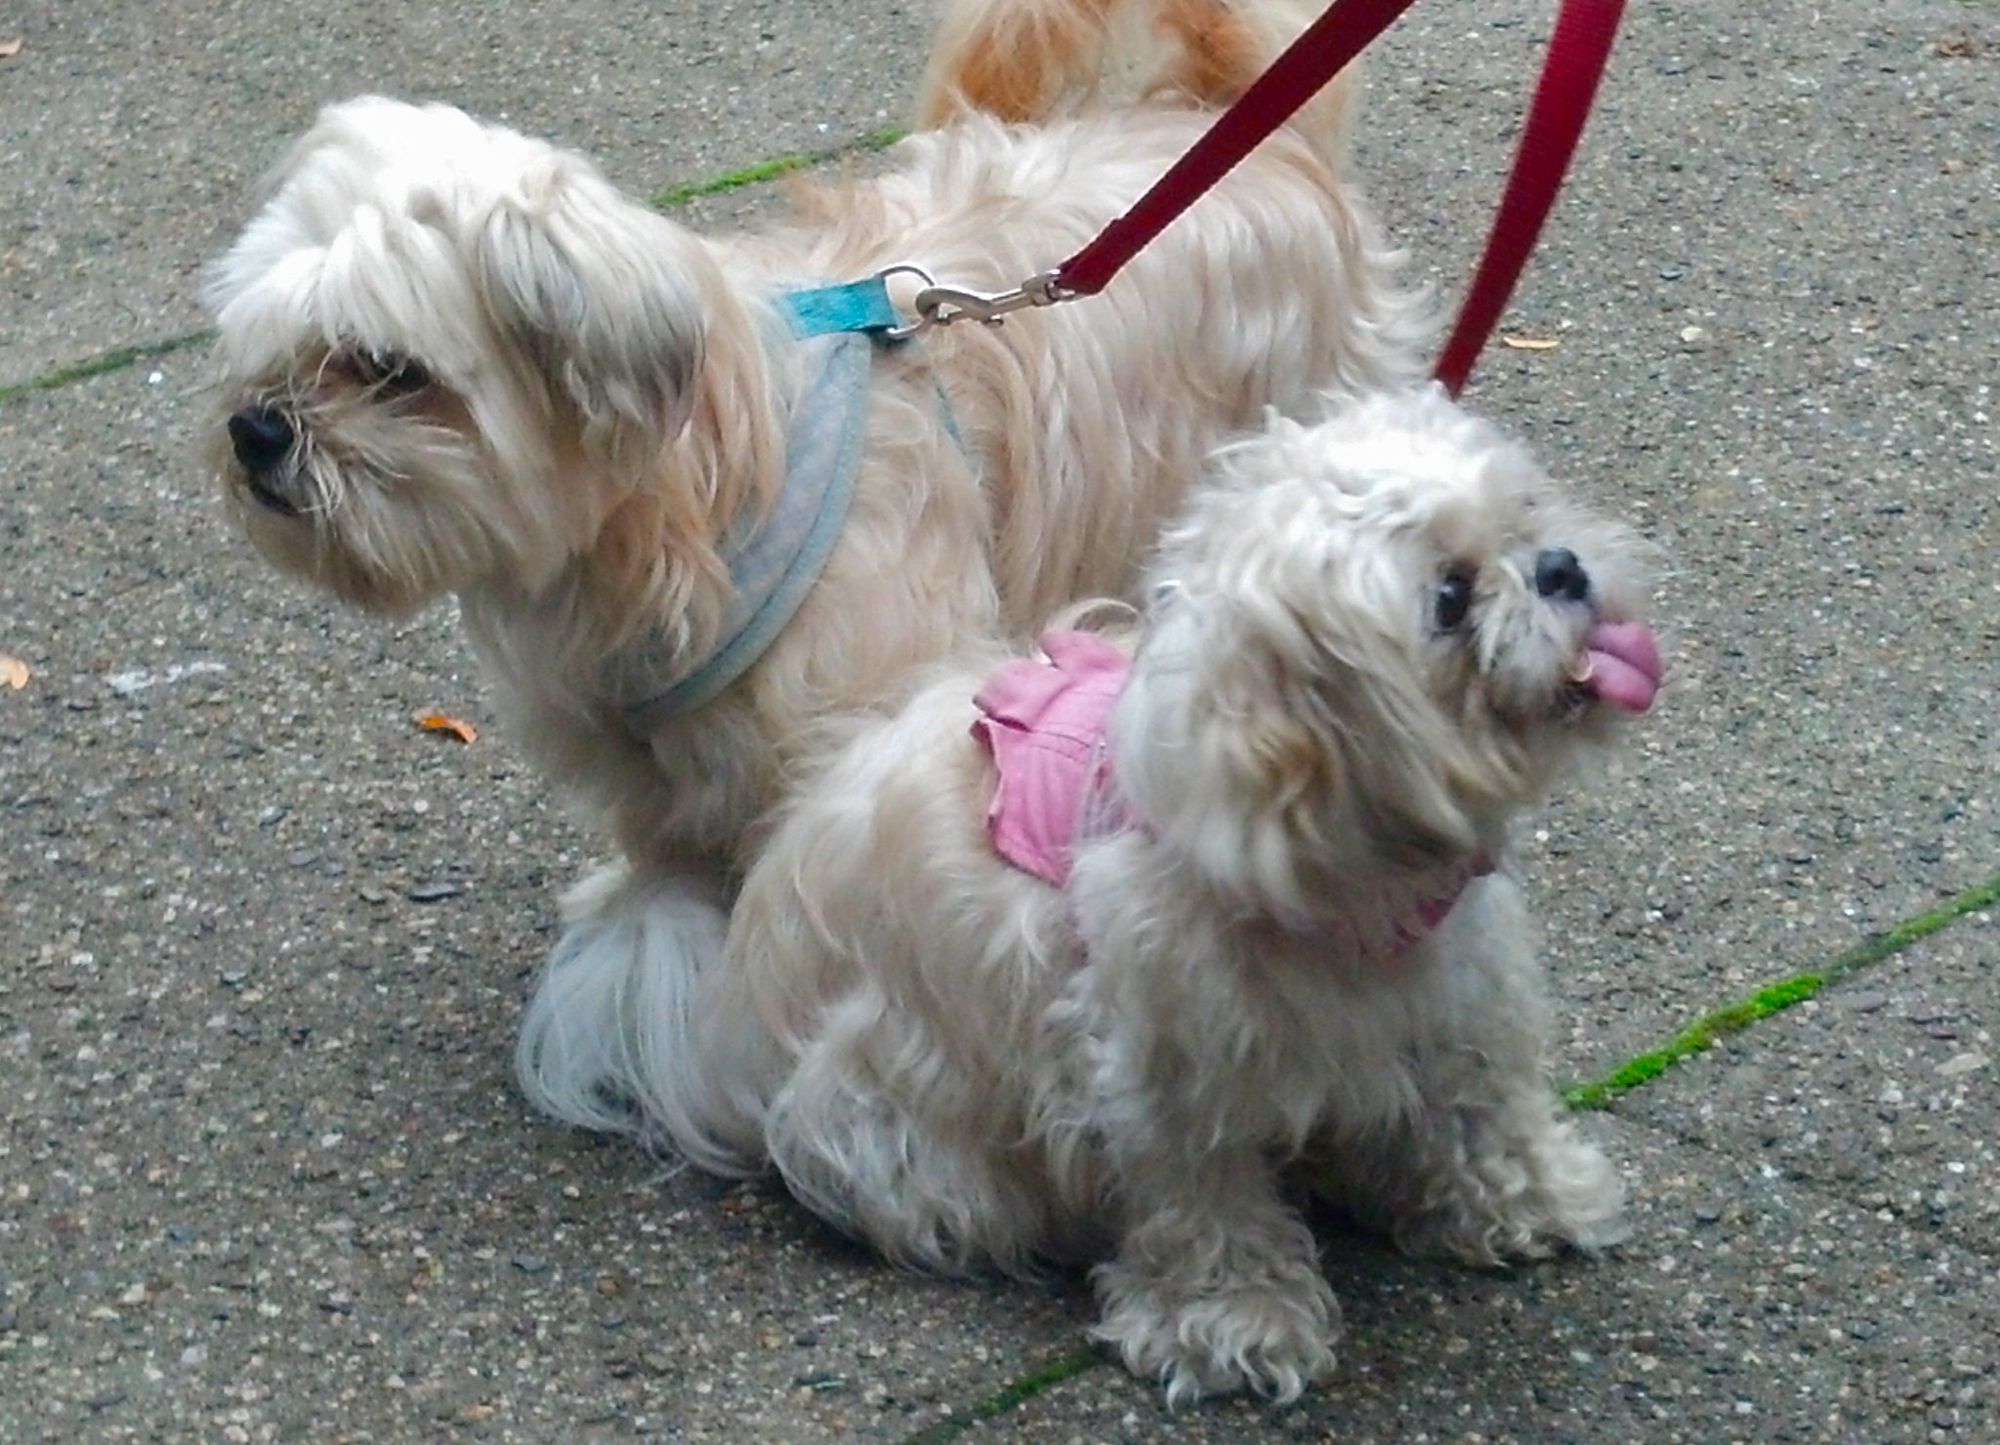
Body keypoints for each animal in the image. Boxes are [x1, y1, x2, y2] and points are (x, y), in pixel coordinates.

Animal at [199, 2, 1424, 1144]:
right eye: (264, 345)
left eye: (387, 370)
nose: (257, 429)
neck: (683, 505)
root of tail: (1221, 124)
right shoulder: (645, 771)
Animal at [664, 388, 1664, 1400]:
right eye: (1450, 599)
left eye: (1525, 513)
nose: (1561, 567)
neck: (1343, 869)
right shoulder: (1168, 1061)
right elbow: (1203, 1197)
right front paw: (1236, 1319)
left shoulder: (1459, 993)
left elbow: (1479, 1111)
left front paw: (1529, 1195)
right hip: (894, 1127)